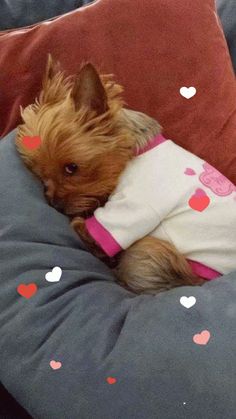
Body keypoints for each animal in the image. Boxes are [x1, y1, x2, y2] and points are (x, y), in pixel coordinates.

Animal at [15, 55, 203, 296]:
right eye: (39, 174)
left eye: (71, 168)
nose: (56, 206)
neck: (134, 153)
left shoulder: (133, 206)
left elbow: (86, 228)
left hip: (151, 249)